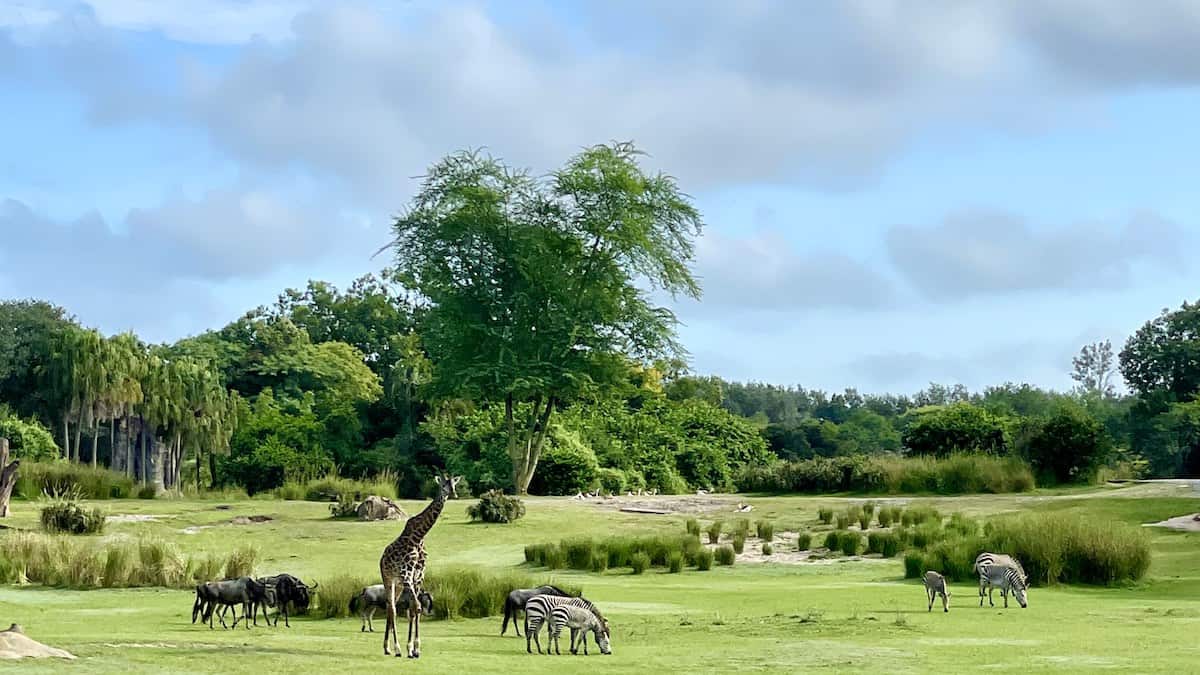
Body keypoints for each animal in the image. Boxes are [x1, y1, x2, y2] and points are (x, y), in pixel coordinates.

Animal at [381, 470, 460, 653]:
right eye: (443, 484)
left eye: (454, 484)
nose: (453, 494)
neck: (418, 537)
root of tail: (381, 559)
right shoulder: (406, 574)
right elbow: (416, 607)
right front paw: (410, 647)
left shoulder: (418, 576)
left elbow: (414, 609)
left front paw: (414, 648)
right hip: (388, 579)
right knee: (392, 608)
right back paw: (394, 648)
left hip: (398, 584)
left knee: (390, 607)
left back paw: (388, 647)